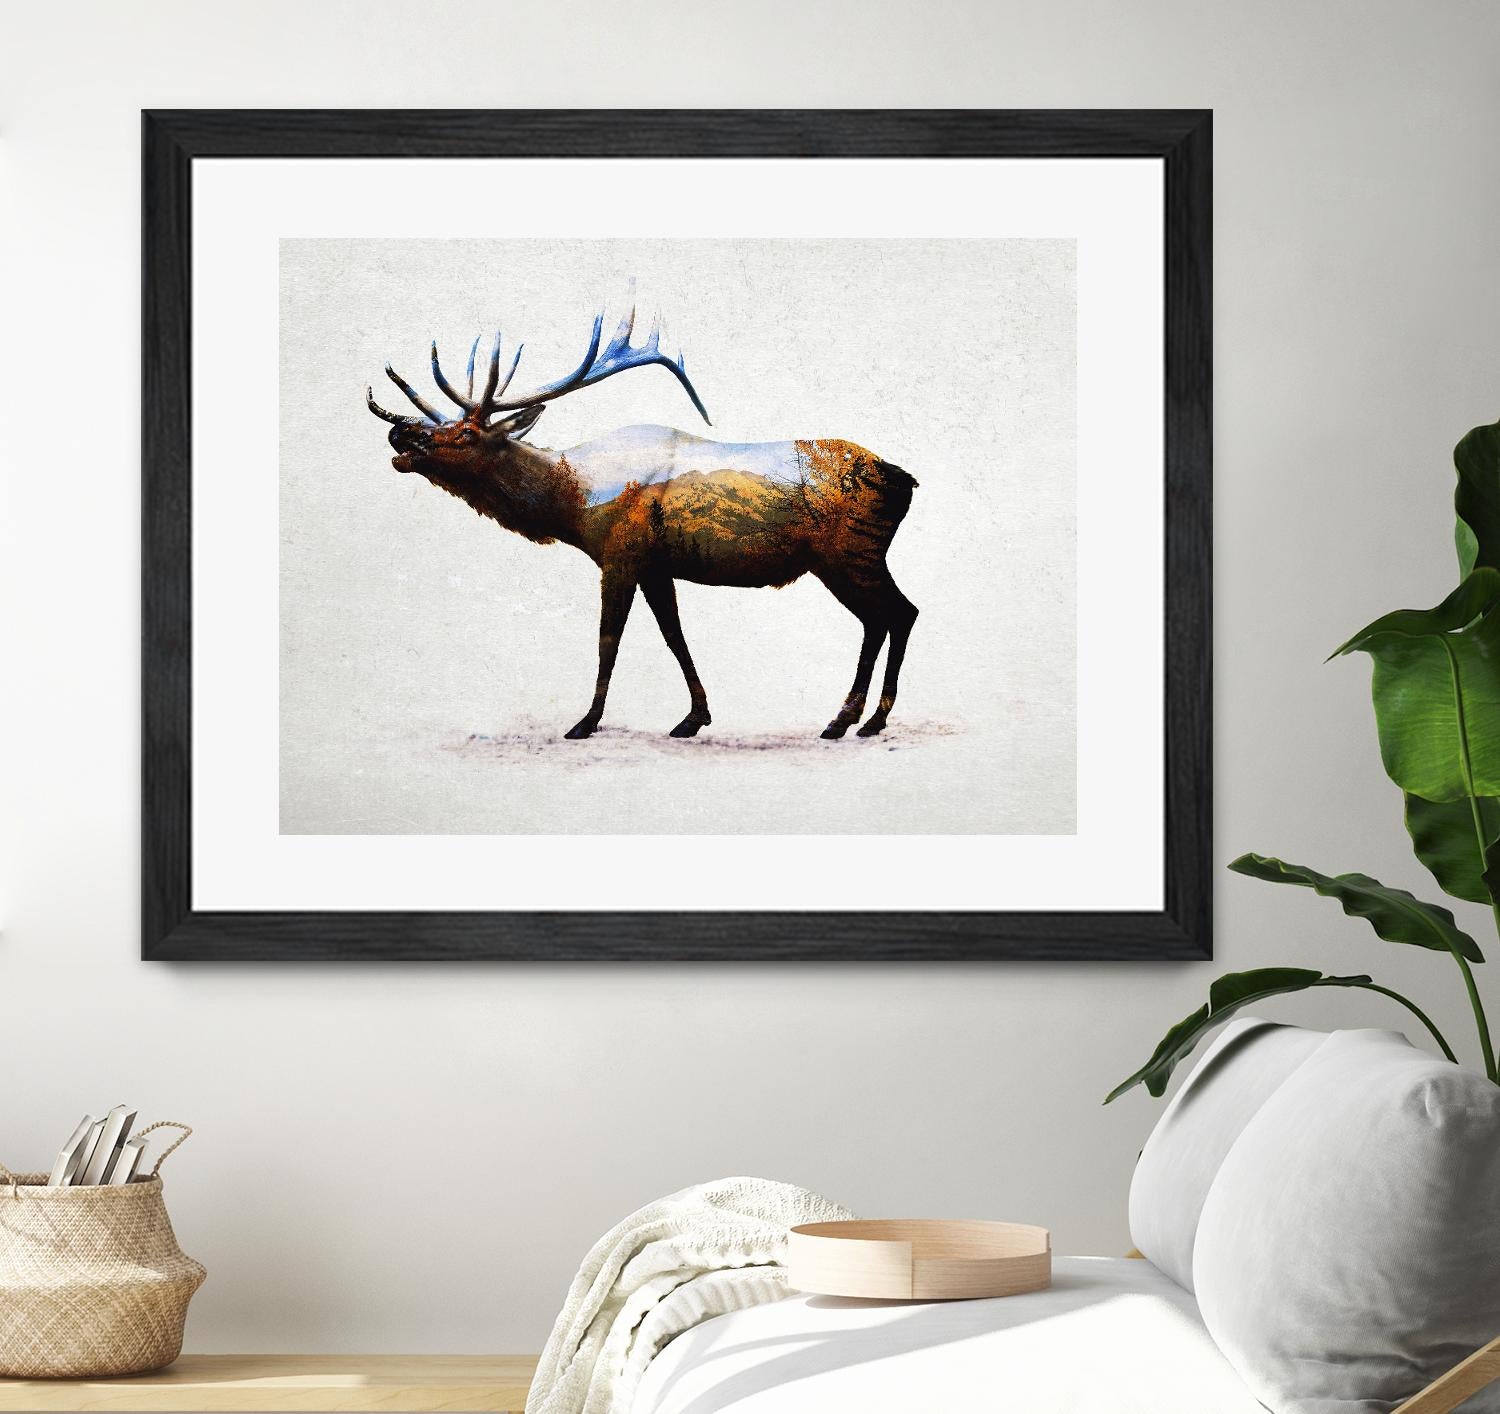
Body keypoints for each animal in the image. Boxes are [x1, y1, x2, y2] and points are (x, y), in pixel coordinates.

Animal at [366, 309, 919, 742]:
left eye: (465, 432)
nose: (400, 433)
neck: (573, 502)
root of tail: (905, 480)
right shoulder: (657, 566)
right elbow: (675, 636)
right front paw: (694, 717)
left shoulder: (619, 554)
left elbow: (608, 640)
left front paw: (585, 721)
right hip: (851, 558)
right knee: (887, 616)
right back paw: (857, 720)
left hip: (849, 552)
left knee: (897, 613)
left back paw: (856, 720)